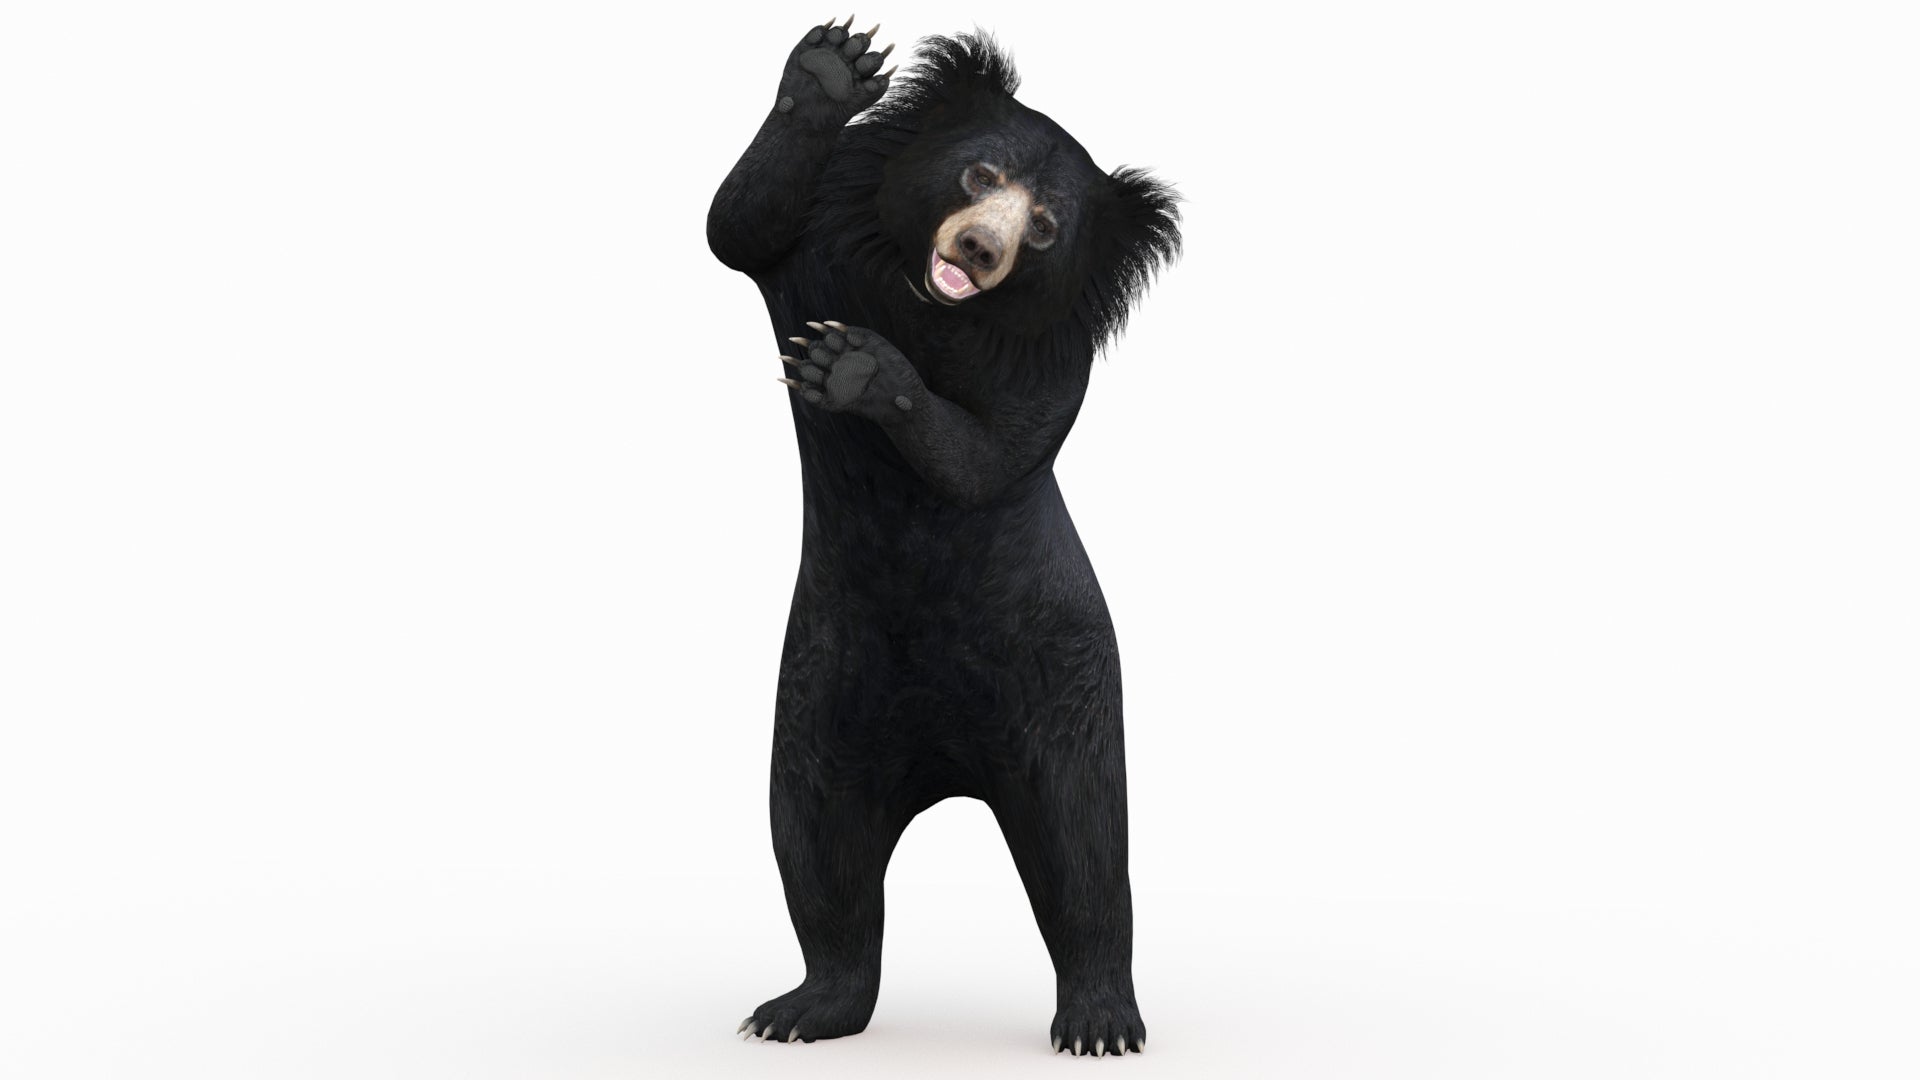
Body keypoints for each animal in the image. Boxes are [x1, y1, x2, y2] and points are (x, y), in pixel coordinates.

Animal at [706, 19, 1180, 1057]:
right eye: (978, 174)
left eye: (1043, 229)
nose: (976, 246)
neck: (931, 307)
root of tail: (950, 773)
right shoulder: (815, 248)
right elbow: (738, 225)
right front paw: (834, 64)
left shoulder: (1051, 368)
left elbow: (992, 456)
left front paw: (858, 367)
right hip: (824, 696)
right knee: (819, 844)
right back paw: (802, 1008)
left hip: (1061, 673)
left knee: (1086, 850)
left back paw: (1099, 1019)